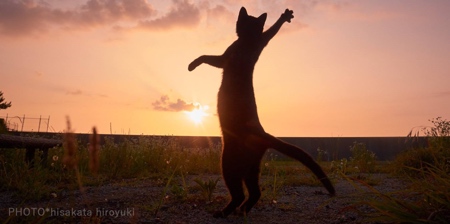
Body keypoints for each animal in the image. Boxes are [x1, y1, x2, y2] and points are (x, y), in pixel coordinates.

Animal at [186, 6, 334, 217]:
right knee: (255, 192)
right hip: (251, 168)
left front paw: (192, 65)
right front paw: (284, 17)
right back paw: (243, 211)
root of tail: (262, 132)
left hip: (228, 162)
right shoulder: (260, 41)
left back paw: (224, 212)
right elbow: (271, 32)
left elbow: (206, 57)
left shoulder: (225, 58)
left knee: (239, 193)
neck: (248, 40)